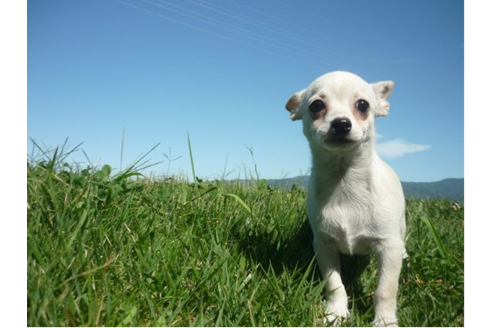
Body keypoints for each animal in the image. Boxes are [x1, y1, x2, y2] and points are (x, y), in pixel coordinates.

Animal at [286, 71, 406, 326]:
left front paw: (384, 320)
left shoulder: (388, 247)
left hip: (400, 226)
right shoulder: (324, 246)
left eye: (363, 105)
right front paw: (336, 313)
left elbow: (386, 289)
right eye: (316, 106)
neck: (344, 183)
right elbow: (334, 284)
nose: (341, 123)